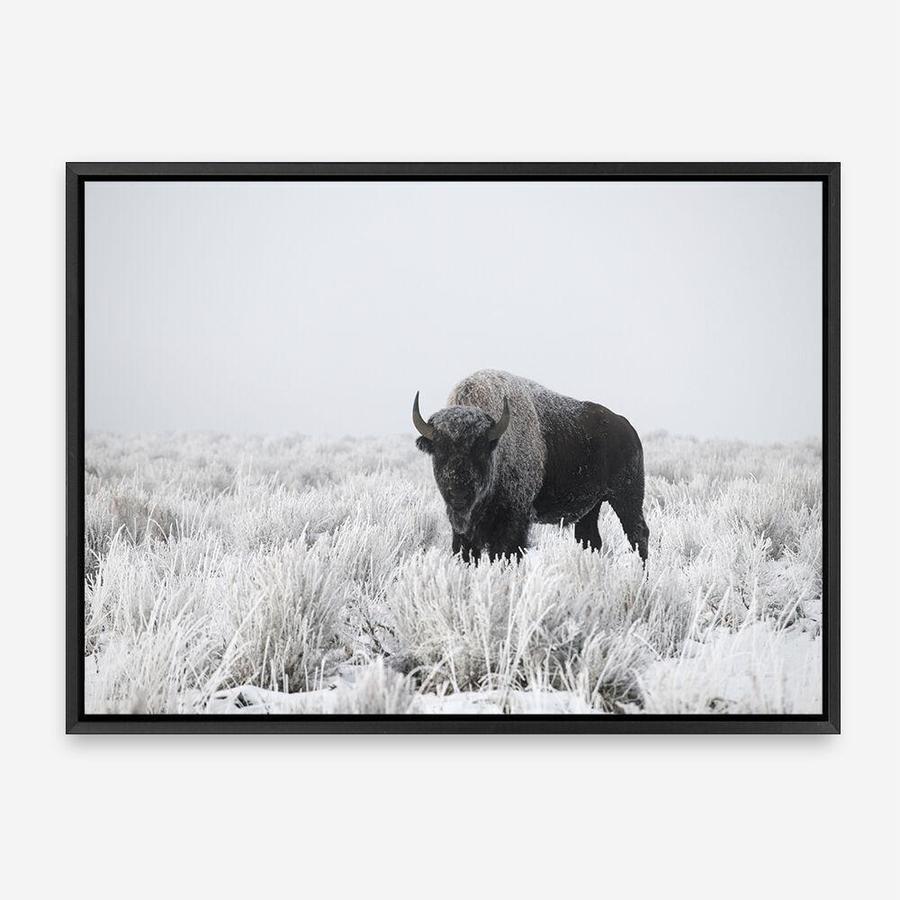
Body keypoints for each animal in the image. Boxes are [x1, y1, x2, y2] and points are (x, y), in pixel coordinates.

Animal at [413, 369, 649, 563]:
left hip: (626, 496)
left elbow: (506, 553)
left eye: (479, 449)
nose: (459, 494)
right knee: (590, 540)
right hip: (592, 506)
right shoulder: (463, 530)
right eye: (439, 450)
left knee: (638, 534)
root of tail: (628, 429)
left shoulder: (514, 520)